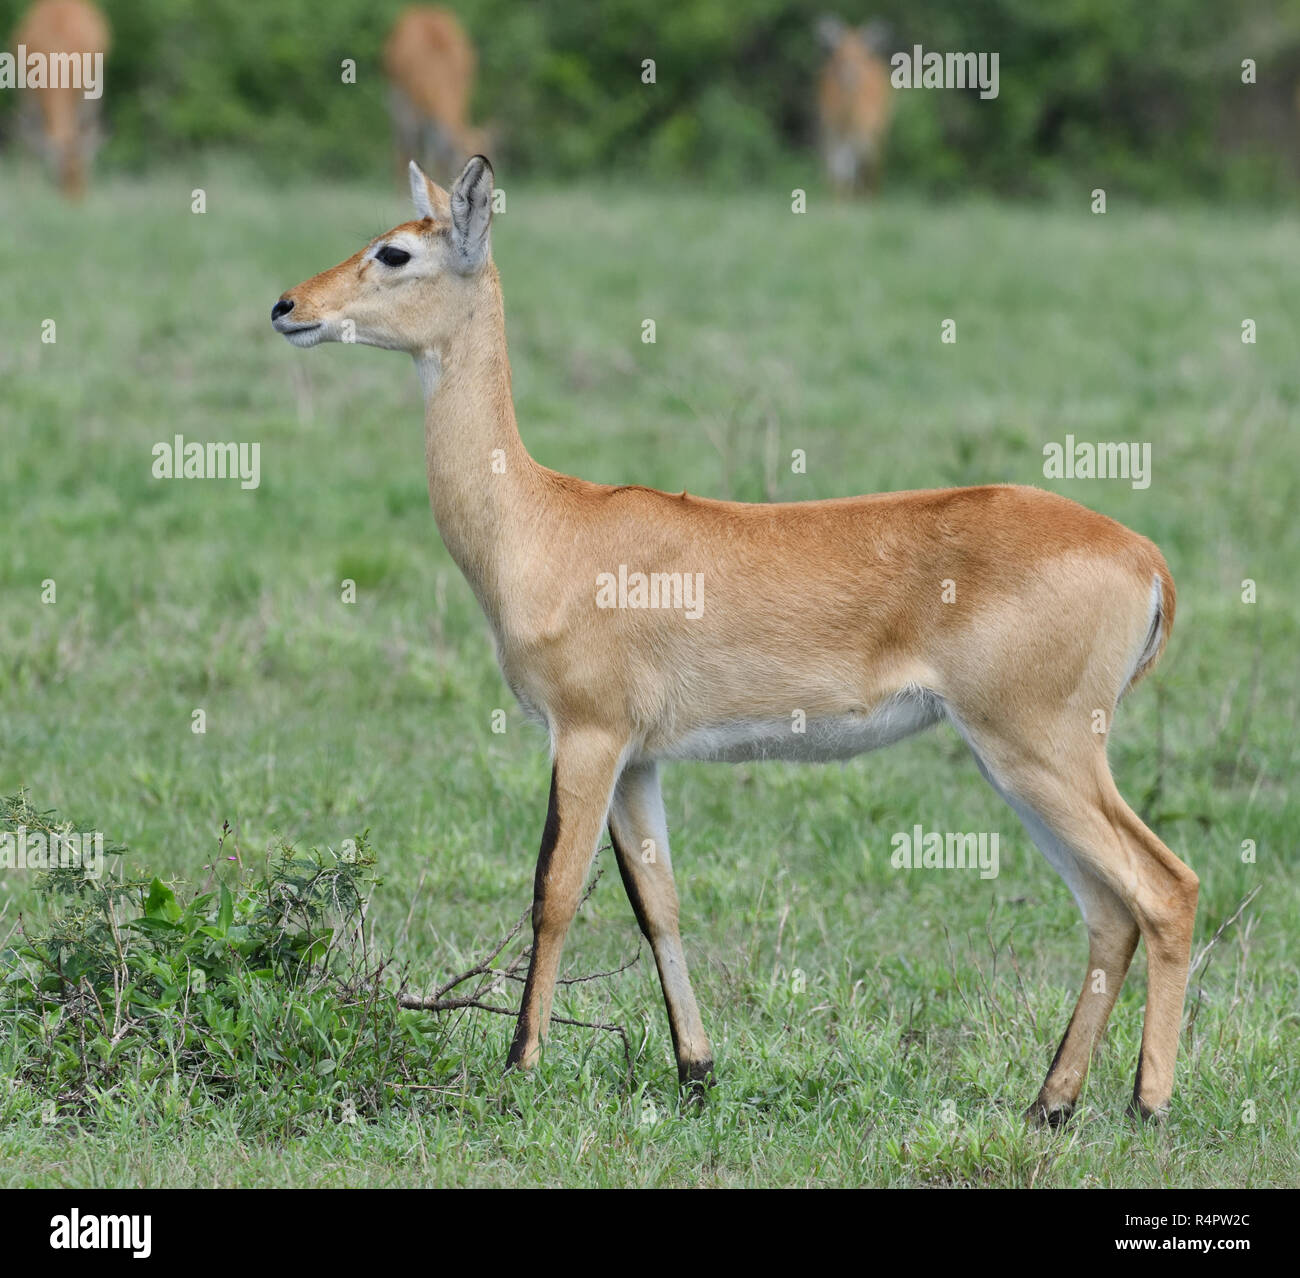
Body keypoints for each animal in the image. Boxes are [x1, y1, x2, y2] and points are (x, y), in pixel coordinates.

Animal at [11, 0, 109, 198]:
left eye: (83, 175)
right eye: (56, 178)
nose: (75, 201)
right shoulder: (27, 94)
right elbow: (26, 137)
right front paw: (26, 189)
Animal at [271, 159, 1196, 1128]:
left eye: (395, 251)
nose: (288, 306)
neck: (543, 521)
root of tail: (1146, 559)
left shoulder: (587, 735)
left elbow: (552, 894)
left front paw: (518, 1068)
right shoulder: (639, 759)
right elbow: (659, 905)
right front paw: (695, 1071)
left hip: (1040, 747)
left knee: (1166, 888)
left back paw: (1147, 1105)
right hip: (1016, 761)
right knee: (1109, 911)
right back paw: (1047, 1105)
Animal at [811, 14, 894, 196]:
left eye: (860, 55)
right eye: (839, 53)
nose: (850, 73)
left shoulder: (866, 134)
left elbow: (856, 171)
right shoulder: (830, 133)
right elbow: (838, 174)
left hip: (878, 132)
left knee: (872, 169)